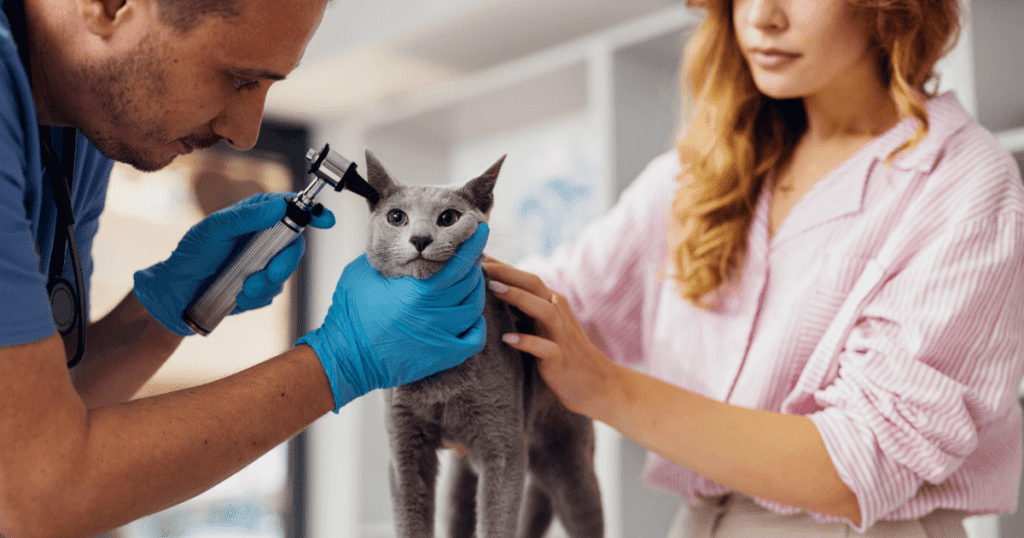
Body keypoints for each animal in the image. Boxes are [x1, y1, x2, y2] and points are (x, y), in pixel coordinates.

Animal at [360, 148, 602, 536]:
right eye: (397, 217)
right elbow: (411, 519)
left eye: (448, 218)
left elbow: (498, 519)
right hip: (462, 478)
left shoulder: (504, 447)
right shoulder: (404, 447)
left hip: (570, 465)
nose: (420, 238)